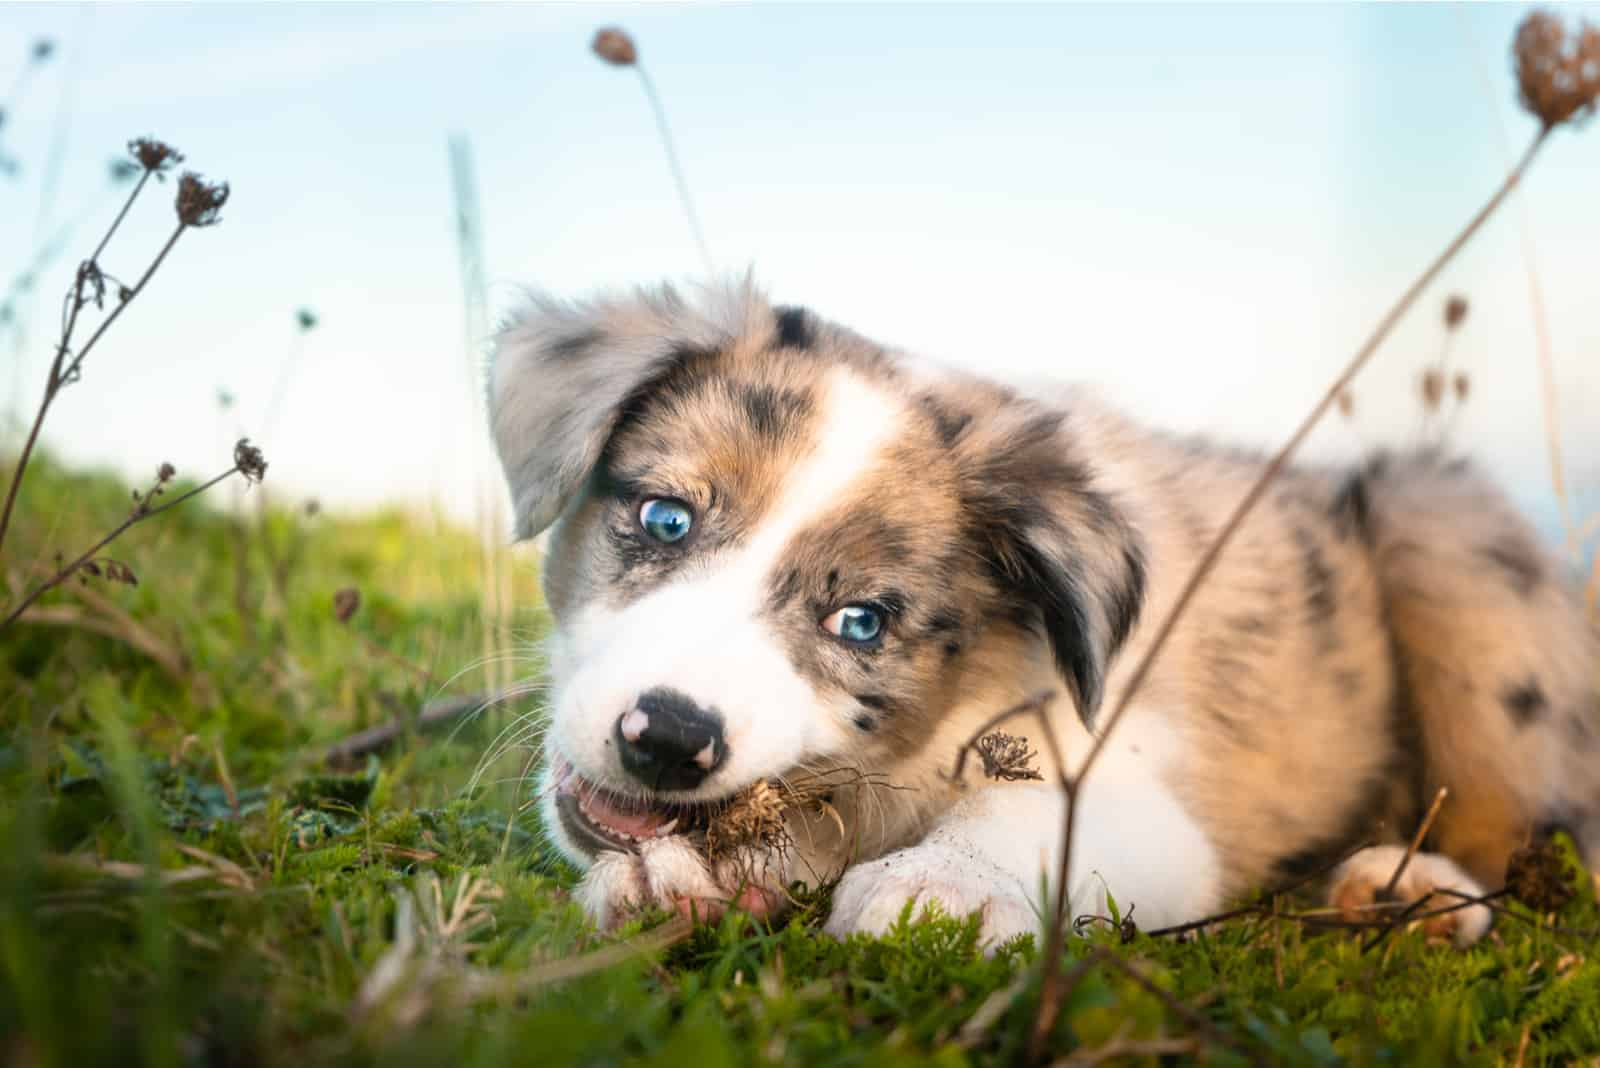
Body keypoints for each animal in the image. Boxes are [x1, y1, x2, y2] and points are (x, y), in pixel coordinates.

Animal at [486, 279, 1600, 946]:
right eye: (664, 518)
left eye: (861, 623)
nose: (668, 739)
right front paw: (669, 876)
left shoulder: (1142, 792)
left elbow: (1020, 817)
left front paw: (938, 887)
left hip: (1444, 530)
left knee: (1507, 828)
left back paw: (1411, 888)